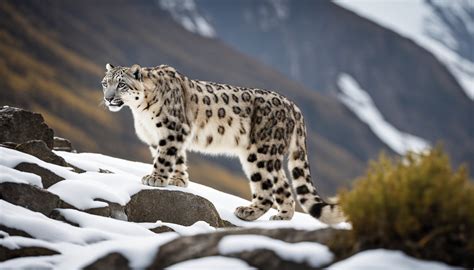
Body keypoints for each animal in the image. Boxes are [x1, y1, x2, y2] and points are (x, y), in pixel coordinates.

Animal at [101, 63, 344, 224]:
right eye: (105, 83)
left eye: (121, 84)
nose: (108, 98)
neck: (140, 113)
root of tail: (294, 106)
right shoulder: (158, 137)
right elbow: (177, 158)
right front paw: (179, 180)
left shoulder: (172, 131)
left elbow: (165, 157)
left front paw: (156, 178)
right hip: (266, 155)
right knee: (283, 186)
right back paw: (282, 217)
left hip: (261, 152)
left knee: (266, 188)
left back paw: (248, 211)